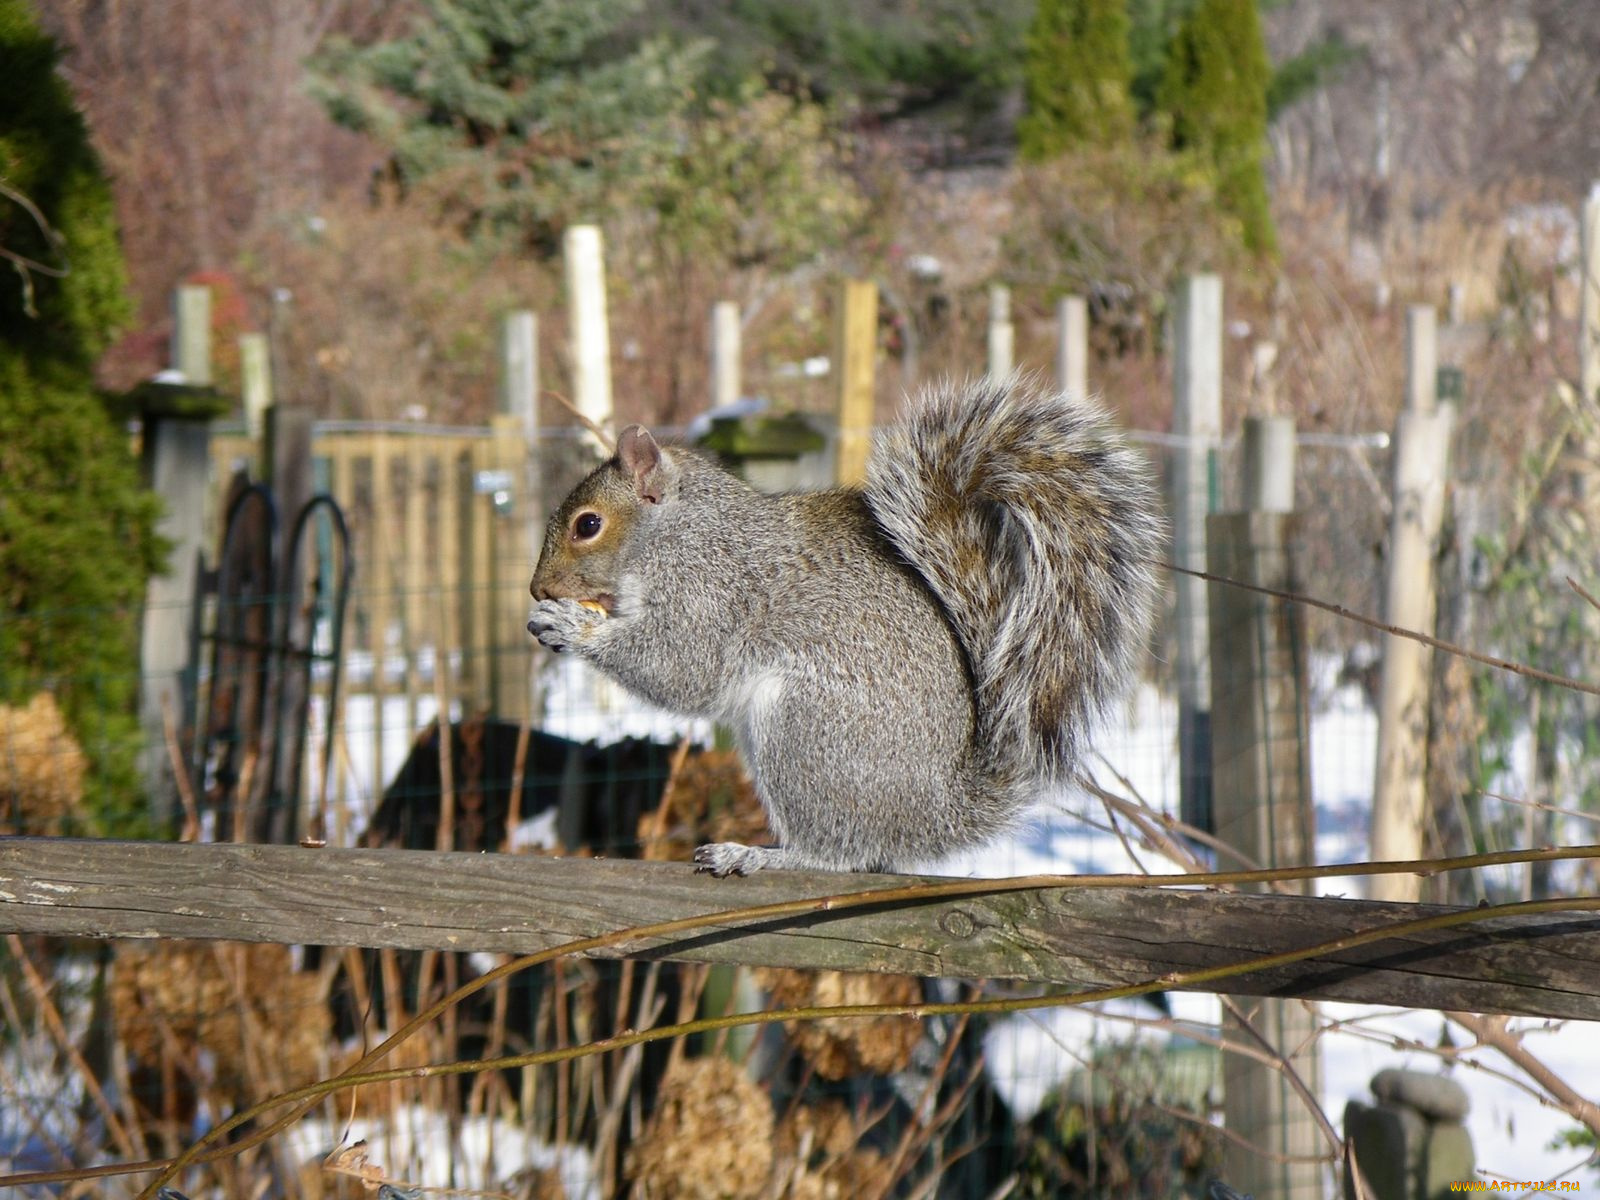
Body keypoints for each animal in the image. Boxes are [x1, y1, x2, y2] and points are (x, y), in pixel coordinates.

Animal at [524, 371, 1164, 876]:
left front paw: (571, 627)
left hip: (805, 730)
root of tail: (939, 813)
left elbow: (682, 667)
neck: (682, 534)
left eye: (588, 524)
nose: (537, 588)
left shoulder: (714, 592)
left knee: (839, 853)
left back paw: (760, 855)